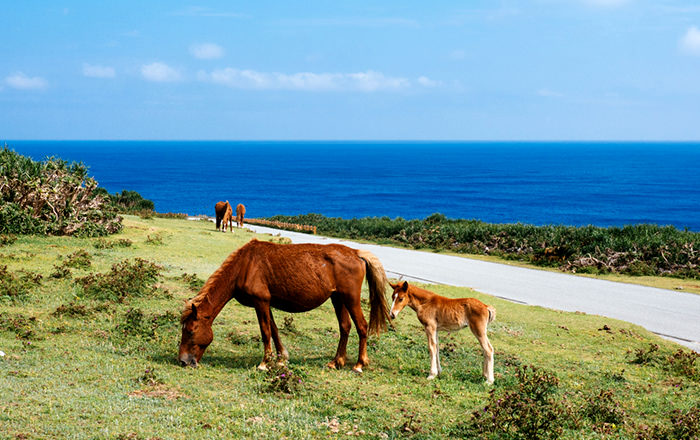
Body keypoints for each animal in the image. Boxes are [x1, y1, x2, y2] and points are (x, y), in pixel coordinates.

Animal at [178, 239, 392, 372]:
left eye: (190, 331)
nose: (183, 361)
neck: (245, 265)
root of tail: (356, 253)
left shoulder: (261, 302)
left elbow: (265, 332)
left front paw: (264, 363)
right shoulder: (267, 303)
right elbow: (274, 330)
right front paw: (281, 359)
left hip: (350, 298)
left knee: (362, 326)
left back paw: (359, 364)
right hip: (338, 298)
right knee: (345, 327)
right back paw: (336, 362)